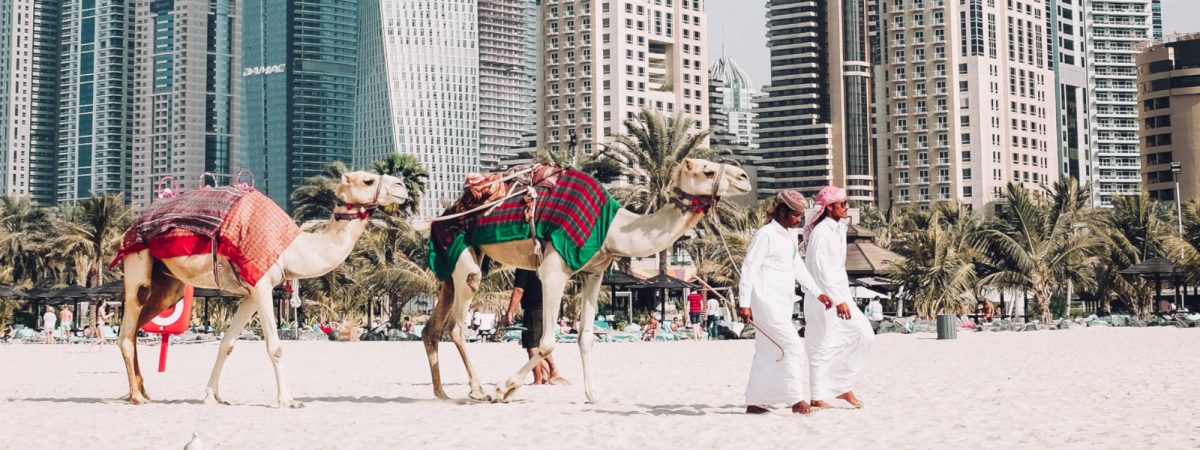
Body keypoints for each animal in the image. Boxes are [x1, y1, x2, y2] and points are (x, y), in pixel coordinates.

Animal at [116, 172, 409, 408]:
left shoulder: (250, 292)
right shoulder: (262, 284)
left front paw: (213, 395)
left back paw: (143, 390)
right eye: (368, 180)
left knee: (140, 324)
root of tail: (130, 228)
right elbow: (275, 347)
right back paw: (136, 396)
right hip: (137, 260)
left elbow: (227, 343)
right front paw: (288, 401)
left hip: (169, 284)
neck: (292, 249)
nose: (402, 186)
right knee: (128, 327)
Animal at [423, 158, 751, 403]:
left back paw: (442, 393)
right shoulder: (553, 270)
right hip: (459, 245)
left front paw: (593, 395)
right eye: (707, 170)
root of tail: (445, 212)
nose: (745, 177)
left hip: (454, 259)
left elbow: (586, 337)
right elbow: (547, 343)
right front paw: (503, 389)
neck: (611, 229)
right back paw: (478, 390)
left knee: (432, 327)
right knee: (458, 322)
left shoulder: (595, 273)